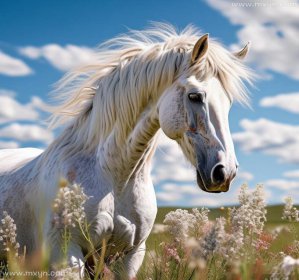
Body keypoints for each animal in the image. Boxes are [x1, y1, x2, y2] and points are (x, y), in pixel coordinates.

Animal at [0, 24, 253, 278]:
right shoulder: (65, 255)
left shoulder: (131, 254)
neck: (114, 176)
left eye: (228, 103)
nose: (225, 172)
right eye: (195, 96)